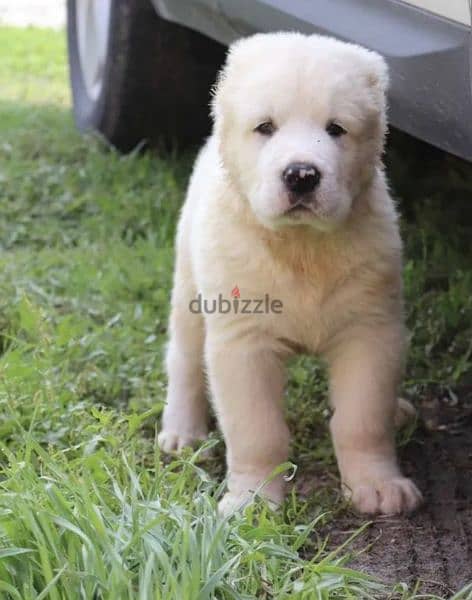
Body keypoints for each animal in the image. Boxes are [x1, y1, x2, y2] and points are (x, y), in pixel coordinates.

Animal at [157, 31, 422, 516]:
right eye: (266, 127)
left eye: (336, 128)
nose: (301, 175)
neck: (301, 248)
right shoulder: (243, 341)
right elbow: (257, 431)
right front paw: (253, 499)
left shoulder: (370, 331)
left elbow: (362, 419)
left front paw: (378, 486)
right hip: (189, 285)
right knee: (183, 356)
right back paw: (183, 431)